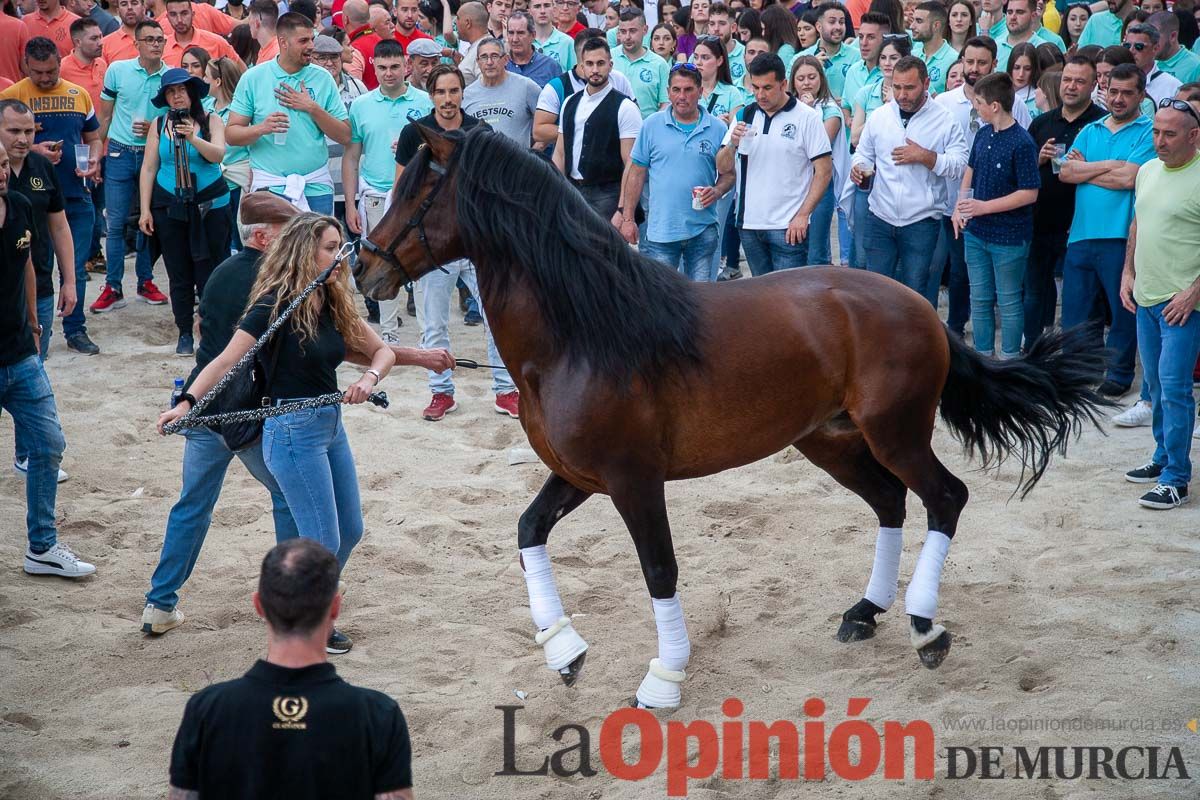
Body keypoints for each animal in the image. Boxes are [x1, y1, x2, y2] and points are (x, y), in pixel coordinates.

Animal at [350, 123, 1108, 705]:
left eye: (420, 189)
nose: (362, 270)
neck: (584, 334)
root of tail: (921, 305)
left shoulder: (632, 481)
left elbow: (660, 571)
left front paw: (663, 678)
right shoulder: (579, 475)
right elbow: (528, 530)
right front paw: (563, 650)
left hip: (896, 434)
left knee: (944, 498)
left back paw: (926, 628)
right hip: (831, 442)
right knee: (891, 503)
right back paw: (865, 613)